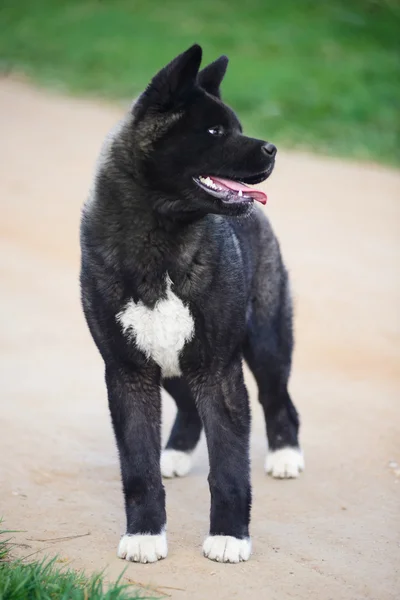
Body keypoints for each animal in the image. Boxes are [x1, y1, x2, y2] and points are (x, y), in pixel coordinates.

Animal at [81, 44, 304, 564]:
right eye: (215, 131)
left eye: (237, 126)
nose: (272, 149)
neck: (160, 241)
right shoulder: (127, 371)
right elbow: (136, 468)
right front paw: (145, 534)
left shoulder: (219, 371)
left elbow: (229, 469)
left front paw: (229, 537)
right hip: (172, 363)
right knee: (186, 407)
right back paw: (175, 453)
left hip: (266, 343)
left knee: (279, 400)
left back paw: (286, 455)